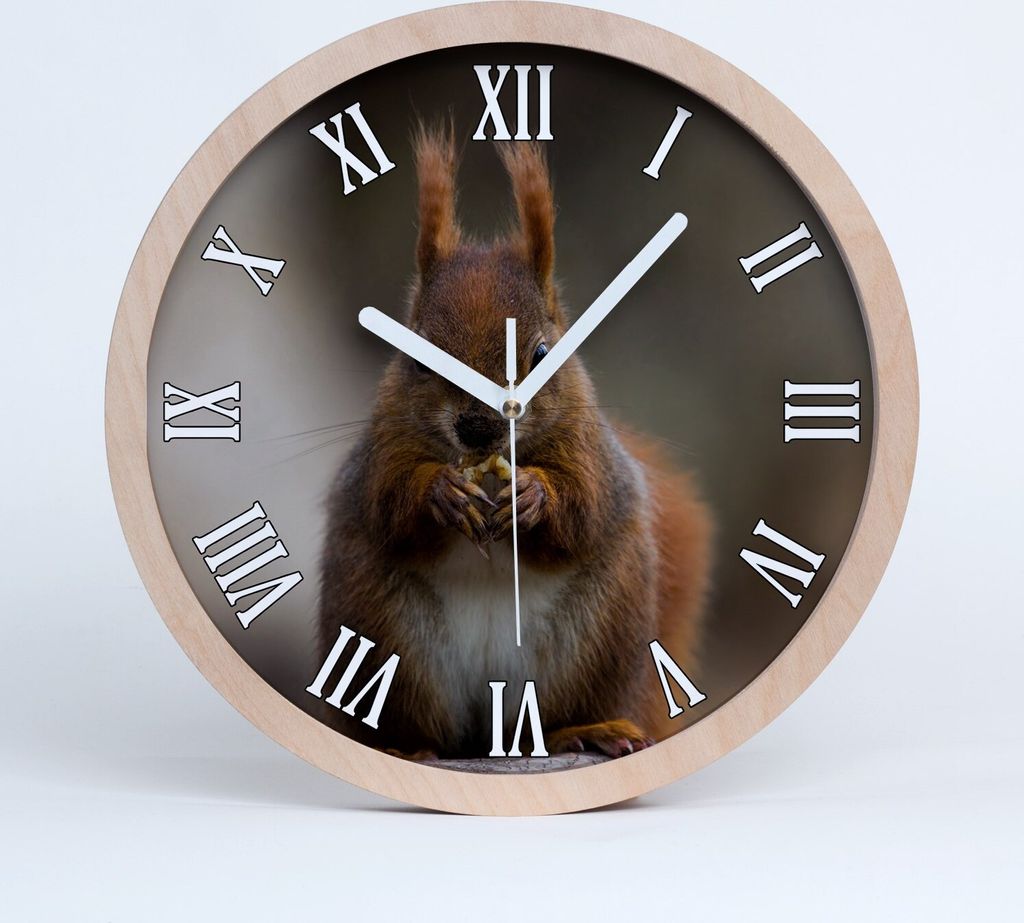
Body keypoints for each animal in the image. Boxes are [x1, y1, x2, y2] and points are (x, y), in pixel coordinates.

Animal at [317, 126, 711, 761]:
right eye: (414, 356)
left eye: (543, 353)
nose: (478, 427)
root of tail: (493, 726)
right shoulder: (380, 449)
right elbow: (388, 503)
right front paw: (441, 492)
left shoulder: (590, 450)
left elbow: (585, 506)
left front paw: (534, 496)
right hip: (385, 633)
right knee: (423, 728)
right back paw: (405, 749)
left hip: (598, 636)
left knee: (552, 722)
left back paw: (589, 729)